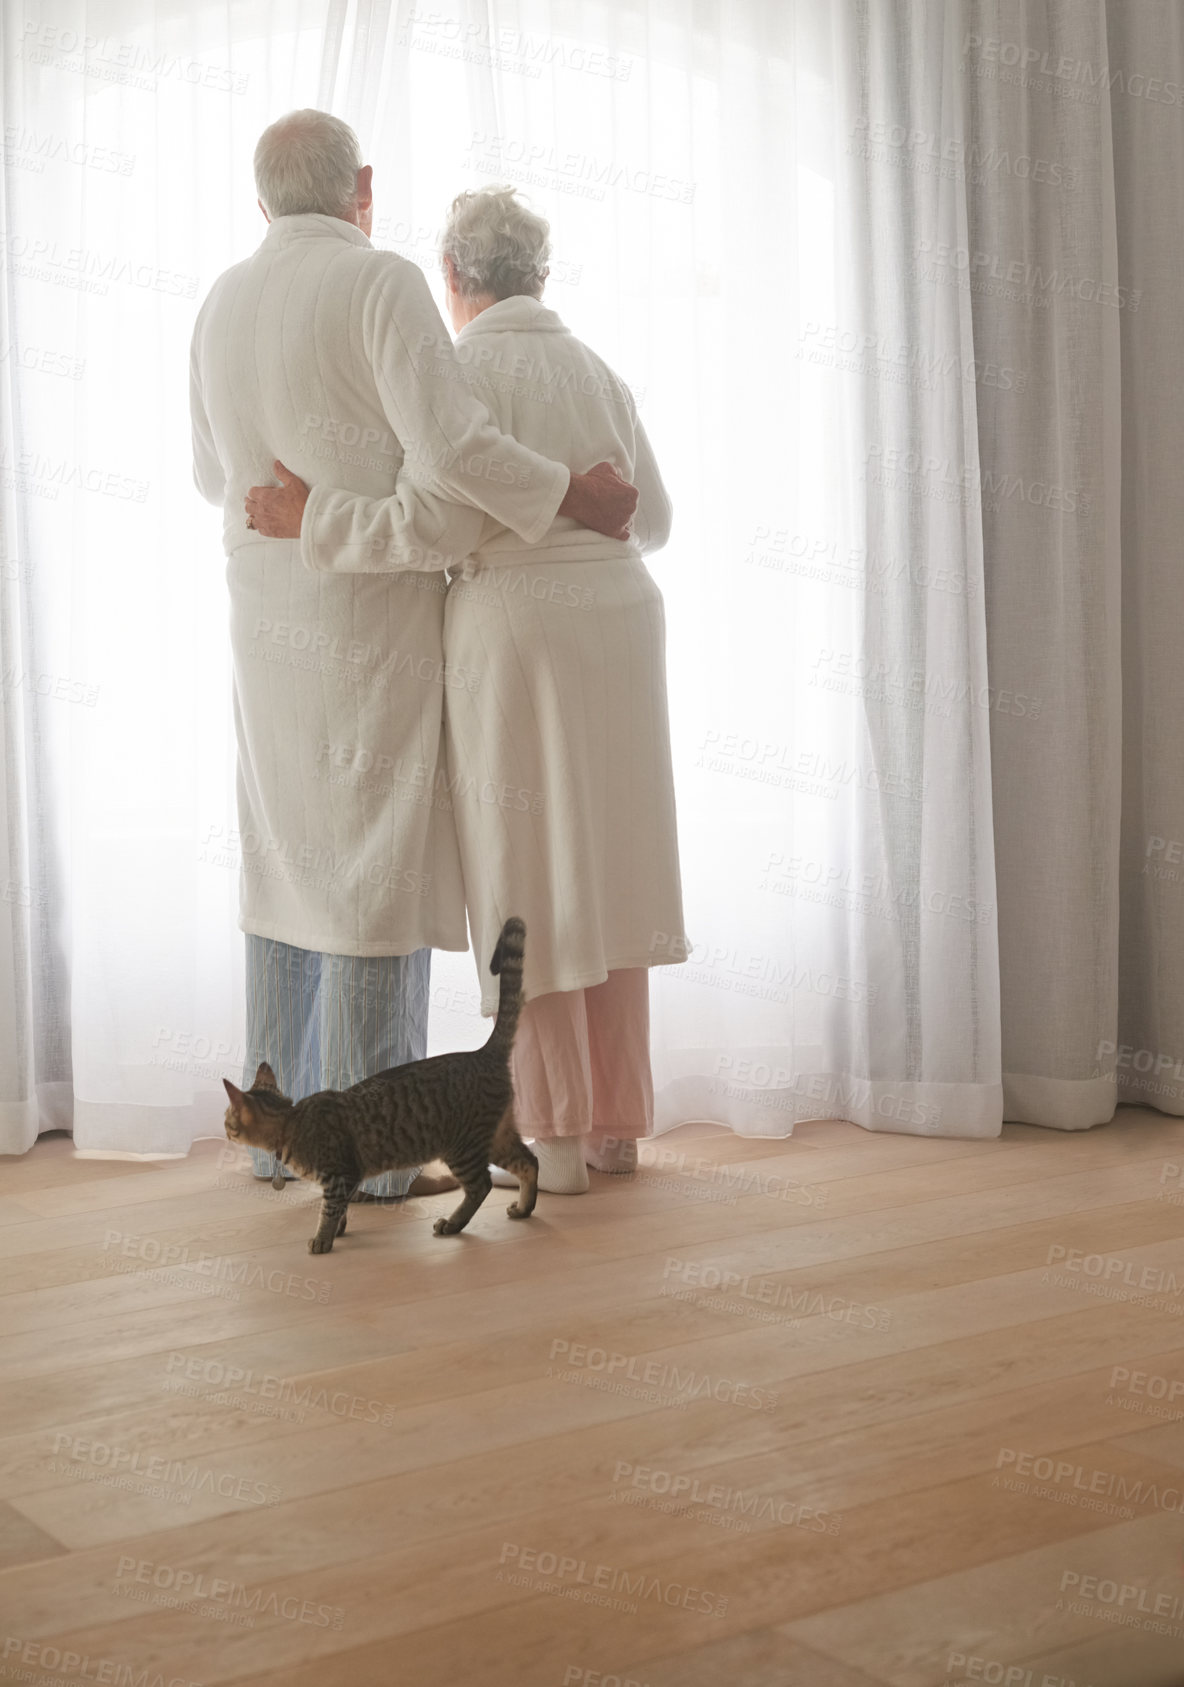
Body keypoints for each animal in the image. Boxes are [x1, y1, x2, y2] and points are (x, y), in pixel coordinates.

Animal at [220, 917, 539, 1248]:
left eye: (227, 1118)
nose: (224, 1129)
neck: (290, 1123)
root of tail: (483, 1052)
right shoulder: (349, 1177)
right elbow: (342, 1209)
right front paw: (338, 1230)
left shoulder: (340, 1176)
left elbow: (329, 1209)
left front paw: (322, 1240)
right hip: (496, 1137)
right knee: (530, 1162)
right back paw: (523, 1208)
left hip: (463, 1146)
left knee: (481, 1186)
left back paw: (453, 1223)